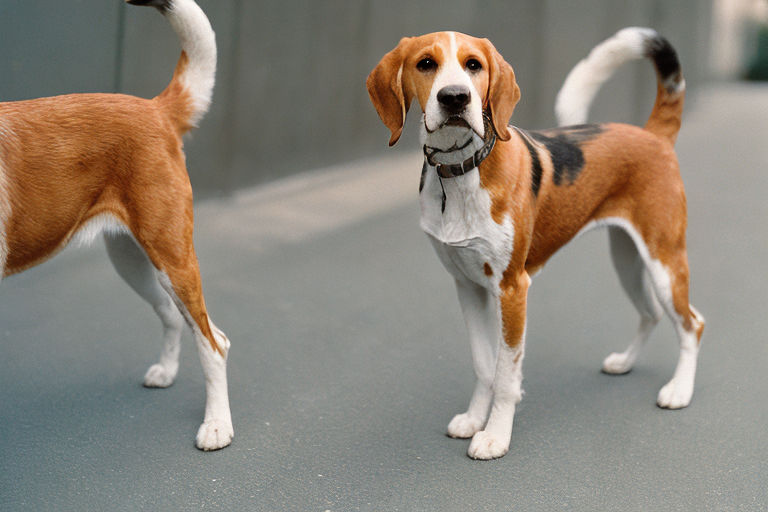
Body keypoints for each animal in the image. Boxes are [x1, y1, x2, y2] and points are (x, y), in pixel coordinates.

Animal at [0, 0, 234, 448]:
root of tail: (154, 108)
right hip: (131, 259)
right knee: (178, 318)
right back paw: (168, 373)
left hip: (172, 257)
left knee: (214, 342)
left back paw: (217, 425)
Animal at [368, 28, 704, 460]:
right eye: (426, 63)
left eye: (473, 65)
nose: (455, 97)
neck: (461, 170)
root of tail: (652, 134)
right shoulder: (468, 287)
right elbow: (483, 365)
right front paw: (474, 419)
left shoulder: (512, 289)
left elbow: (505, 375)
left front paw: (495, 435)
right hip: (627, 260)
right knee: (651, 313)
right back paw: (624, 362)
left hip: (664, 262)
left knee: (692, 324)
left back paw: (680, 390)